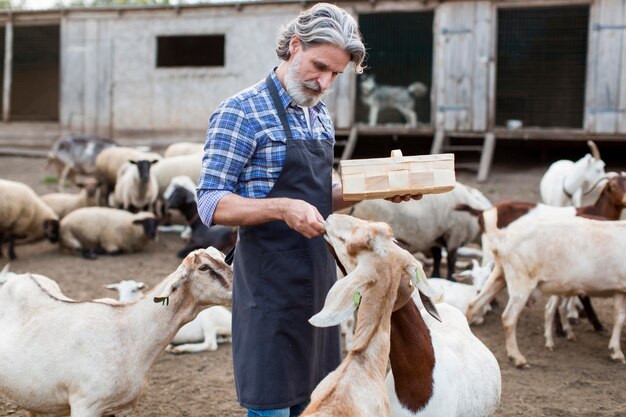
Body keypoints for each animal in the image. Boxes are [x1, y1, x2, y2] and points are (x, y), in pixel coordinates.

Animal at [0, 245, 232, 414]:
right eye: (203, 268)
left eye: (223, 256)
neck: (130, 332)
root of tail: (22, 276)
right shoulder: (85, 405)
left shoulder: (117, 408)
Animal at [348, 182, 490, 280]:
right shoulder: (455, 235)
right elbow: (451, 260)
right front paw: (451, 279)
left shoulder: (435, 237)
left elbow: (438, 257)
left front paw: (436, 276)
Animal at [466, 216, 624, 366]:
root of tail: (504, 237)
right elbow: (621, 319)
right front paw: (617, 352)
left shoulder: (620, 290)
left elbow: (619, 317)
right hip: (521, 281)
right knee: (508, 318)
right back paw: (517, 357)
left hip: (500, 274)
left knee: (474, 304)